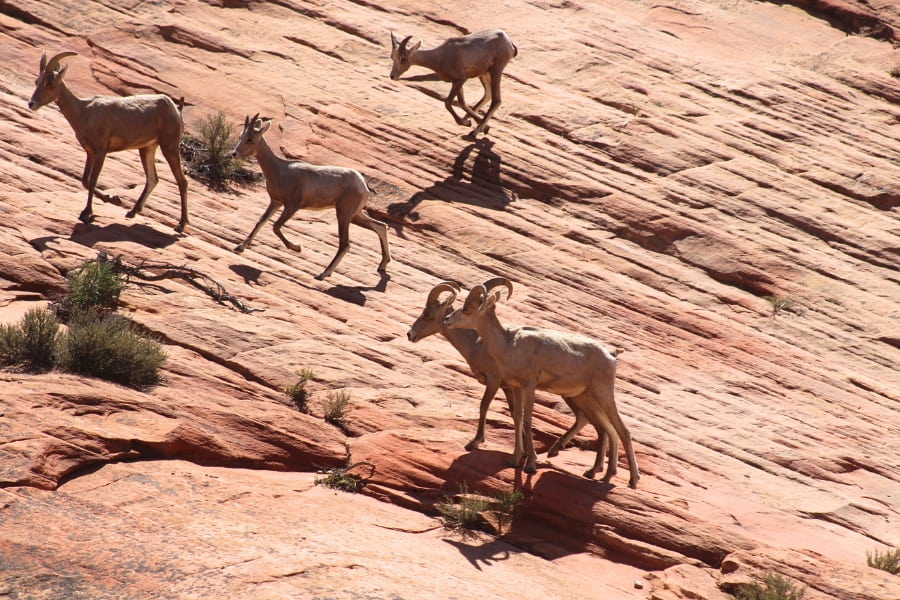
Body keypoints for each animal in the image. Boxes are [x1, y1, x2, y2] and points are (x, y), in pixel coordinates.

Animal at [28, 51, 190, 233]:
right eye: (37, 81)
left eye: (50, 83)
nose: (31, 104)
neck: (85, 112)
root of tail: (176, 109)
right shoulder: (90, 153)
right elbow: (85, 180)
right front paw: (113, 198)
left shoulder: (100, 152)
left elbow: (92, 180)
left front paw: (86, 214)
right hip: (147, 148)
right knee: (153, 179)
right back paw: (132, 212)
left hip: (169, 147)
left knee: (182, 182)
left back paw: (180, 225)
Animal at [229, 114, 391, 281]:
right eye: (241, 136)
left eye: (250, 139)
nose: (233, 154)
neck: (281, 171)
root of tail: (363, 184)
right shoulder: (275, 203)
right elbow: (261, 221)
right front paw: (239, 247)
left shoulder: (292, 207)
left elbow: (276, 227)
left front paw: (297, 247)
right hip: (355, 215)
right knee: (380, 226)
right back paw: (382, 266)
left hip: (344, 215)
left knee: (345, 244)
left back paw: (322, 274)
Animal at [407, 280, 611, 474]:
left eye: (427, 314)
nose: (410, 334)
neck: (478, 344)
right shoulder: (510, 386)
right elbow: (515, 414)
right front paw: (521, 454)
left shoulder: (495, 380)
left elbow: (485, 406)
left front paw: (475, 442)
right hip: (575, 395)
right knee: (591, 422)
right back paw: (575, 459)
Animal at [444, 277, 640, 489]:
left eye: (468, 309)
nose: (447, 320)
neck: (509, 345)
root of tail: (611, 355)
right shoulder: (516, 388)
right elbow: (518, 418)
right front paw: (514, 460)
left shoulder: (529, 386)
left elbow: (528, 420)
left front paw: (530, 464)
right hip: (586, 397)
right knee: (609, 430)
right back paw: (602, 474)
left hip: (603, 394)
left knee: (623, 430)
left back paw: (632, 481)